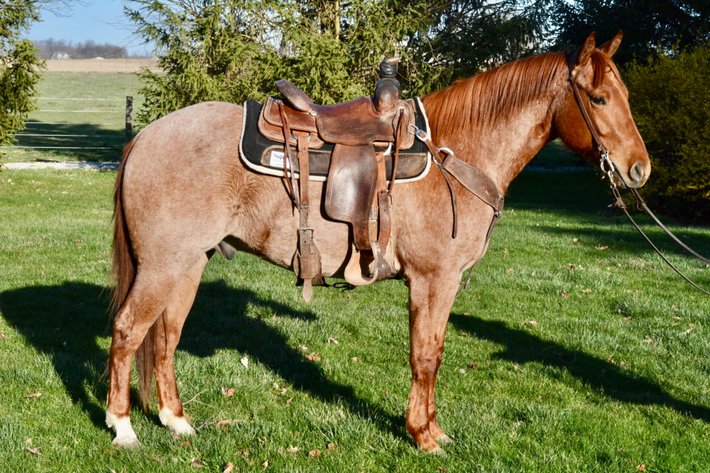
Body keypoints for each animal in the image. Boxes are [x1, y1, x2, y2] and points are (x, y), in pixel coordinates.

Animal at [106, 32, 650, 452]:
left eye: (624, 93)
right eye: (599, 99)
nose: (639, 169)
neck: (458, 156)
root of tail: (145, 137)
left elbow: (434, 353)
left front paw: (431, 429)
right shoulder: (433, 281)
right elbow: (425, 355)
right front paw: (424, 436)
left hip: (188, 264)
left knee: (166, 336)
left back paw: (176, 420)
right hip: (161, 266)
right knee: (129, 331)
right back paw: (123, 427)